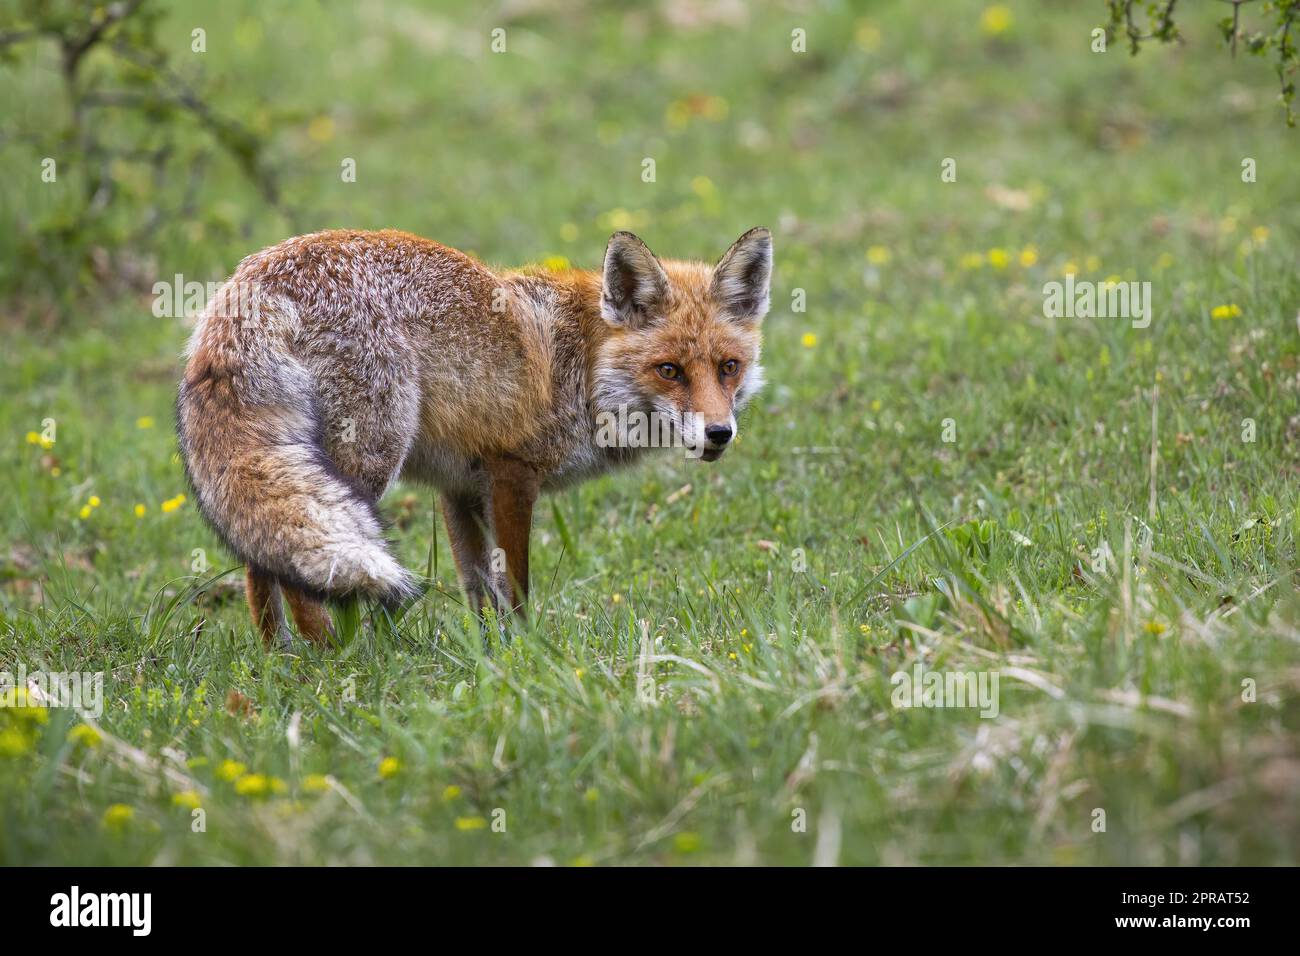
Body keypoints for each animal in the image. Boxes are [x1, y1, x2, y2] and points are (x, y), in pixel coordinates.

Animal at [179, 225, 774, 647]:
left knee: (260, 562)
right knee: (299, 575)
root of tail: (252, 280)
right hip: (364, 462)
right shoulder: (511, 472)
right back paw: (332, 655)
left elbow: (478, 589)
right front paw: (529, 653)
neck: (583, 367)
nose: (719, 433)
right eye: (669, 370)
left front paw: (490, 657)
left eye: (729, 368)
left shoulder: (459, 487)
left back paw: (278, 658)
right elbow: (516, 584)